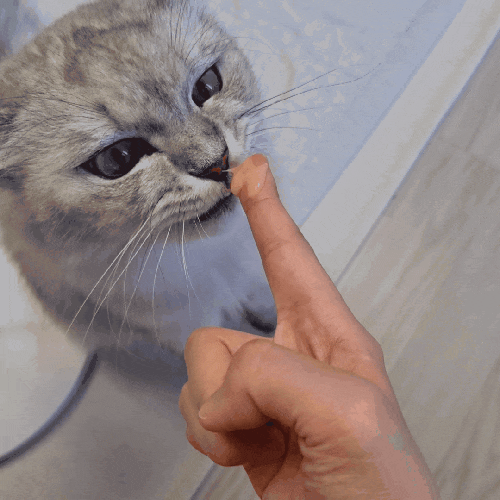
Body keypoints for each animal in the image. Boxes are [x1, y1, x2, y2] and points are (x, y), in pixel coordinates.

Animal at [0, 0, 277, 361]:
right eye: (117, 158)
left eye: (207, 86)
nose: (217, 162)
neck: (215, 258)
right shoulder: (181, 327)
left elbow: (266, 296)